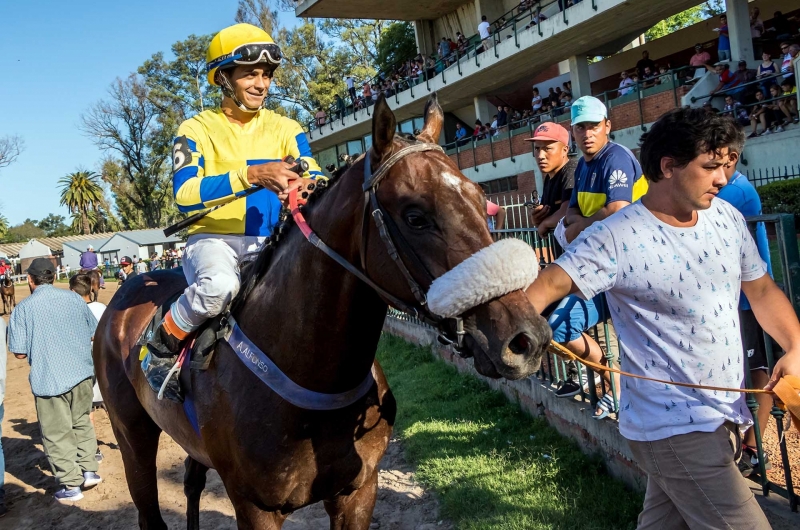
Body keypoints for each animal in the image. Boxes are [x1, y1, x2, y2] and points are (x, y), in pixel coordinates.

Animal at [94, 96, 552, 528]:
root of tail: (124, 293)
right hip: (132, 435)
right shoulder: (255, 507)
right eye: (415, 216)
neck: (312, 383)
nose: (526, 339)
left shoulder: (359, 490)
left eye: (481, 199)